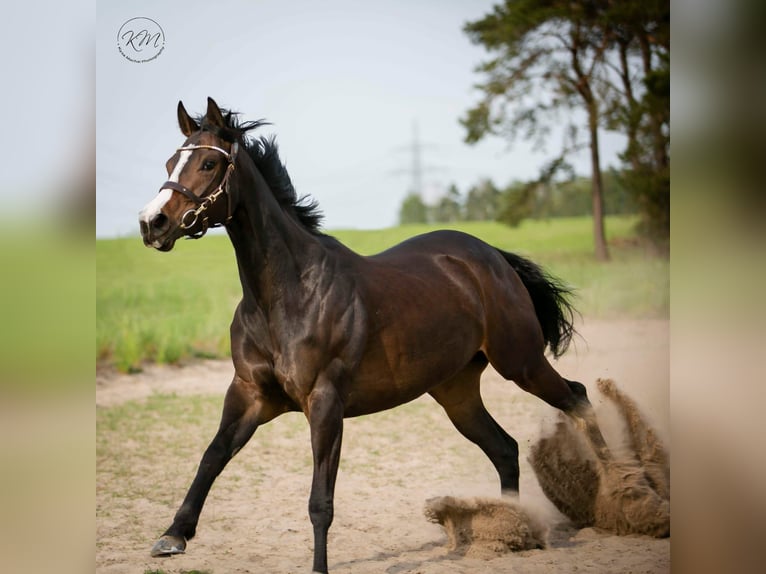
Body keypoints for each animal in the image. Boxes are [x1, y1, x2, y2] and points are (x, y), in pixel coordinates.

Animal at [138, 97, 611, 573]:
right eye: (170, 162)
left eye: (209, 162)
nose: (152, 223)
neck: (286, 297)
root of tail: (492, 256)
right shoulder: (250, 394)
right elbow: (212, 456)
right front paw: (172, 536)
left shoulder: (325, 403)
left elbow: (320, 501)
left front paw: (319, 568)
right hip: (456, 392)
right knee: (506, 449)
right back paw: (515, 529)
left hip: (521, 362)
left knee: (577, 398)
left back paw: (615, 496)